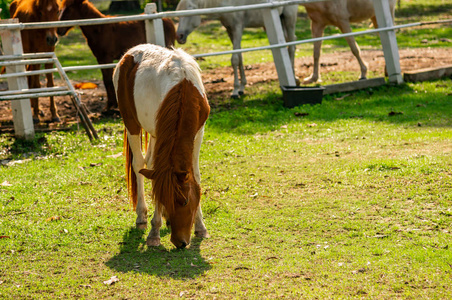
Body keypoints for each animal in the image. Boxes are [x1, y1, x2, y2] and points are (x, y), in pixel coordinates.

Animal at [113, 42, 212, 248]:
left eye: (184, 202)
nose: (180, 242)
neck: (184, 88)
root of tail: (130, 53)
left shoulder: (199, 133)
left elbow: (195, 176)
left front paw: (200, 226)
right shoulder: (161, 133)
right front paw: (154, 232)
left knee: (149, 164)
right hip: (131, 122)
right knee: (139, 164)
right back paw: (142, 216)